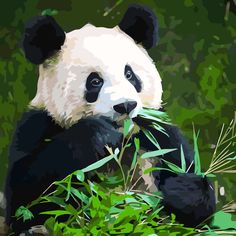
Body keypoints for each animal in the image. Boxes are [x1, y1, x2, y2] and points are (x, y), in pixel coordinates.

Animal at [5, 3, 216, 234]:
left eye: (130, 75)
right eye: (95, 81)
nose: (125, 106)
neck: (123, 140)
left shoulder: (158, 134)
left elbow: (199, 208)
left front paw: (181, 190)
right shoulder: (37, 125)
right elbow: (27, 199)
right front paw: (97, 136)